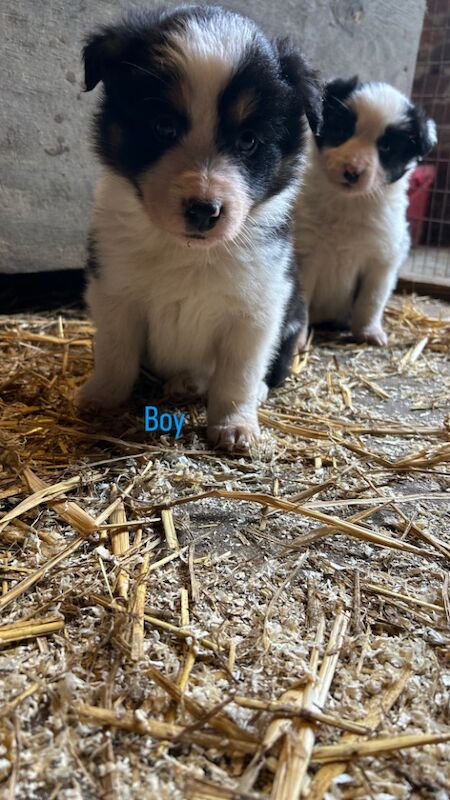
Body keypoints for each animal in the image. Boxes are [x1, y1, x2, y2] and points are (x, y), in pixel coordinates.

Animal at [79, 4, 322, 450]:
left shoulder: (258, 309)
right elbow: (116, 354)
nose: (204, 210)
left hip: (294, 319)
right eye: (163, 126)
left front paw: (235, 426)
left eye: (248, 140)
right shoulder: (114, 291)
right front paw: (101, 398)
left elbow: (237, 376)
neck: (188, 252)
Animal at [296, 77, 436, 346]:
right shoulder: (306, 255)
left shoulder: (381, 260)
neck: (348, 204)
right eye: (342, 131)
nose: (352, 172)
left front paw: (370, 333)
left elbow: (370, 301)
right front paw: (297, 341)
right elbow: (300, 304)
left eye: (386, 146)